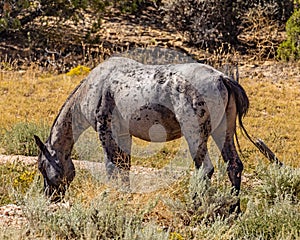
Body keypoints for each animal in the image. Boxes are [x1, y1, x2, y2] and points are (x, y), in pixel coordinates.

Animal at [34, 57, 282, 213]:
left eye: (42, 167)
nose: (49, 196)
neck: (93, 87)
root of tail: (222, 78)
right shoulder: (123, 135)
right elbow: (124, 167)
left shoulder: (107, 132)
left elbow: (112, 168)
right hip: (224, 132)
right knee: (234, 166)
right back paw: (234, 209)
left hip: (195, 134)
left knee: (205, 169)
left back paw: (196, 206)